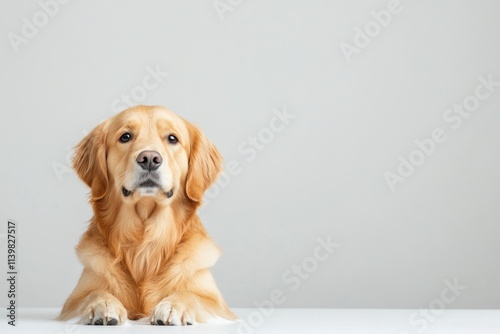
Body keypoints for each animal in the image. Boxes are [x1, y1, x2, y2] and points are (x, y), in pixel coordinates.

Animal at [57, 105, 237, 324]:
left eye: (172, 138)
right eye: (125, 136)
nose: (149, 158)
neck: (144, 244)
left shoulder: (220, 306)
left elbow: (190, 294)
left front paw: (173, 307)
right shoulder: (71, 303)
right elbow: (94, 293)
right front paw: (103, 305)